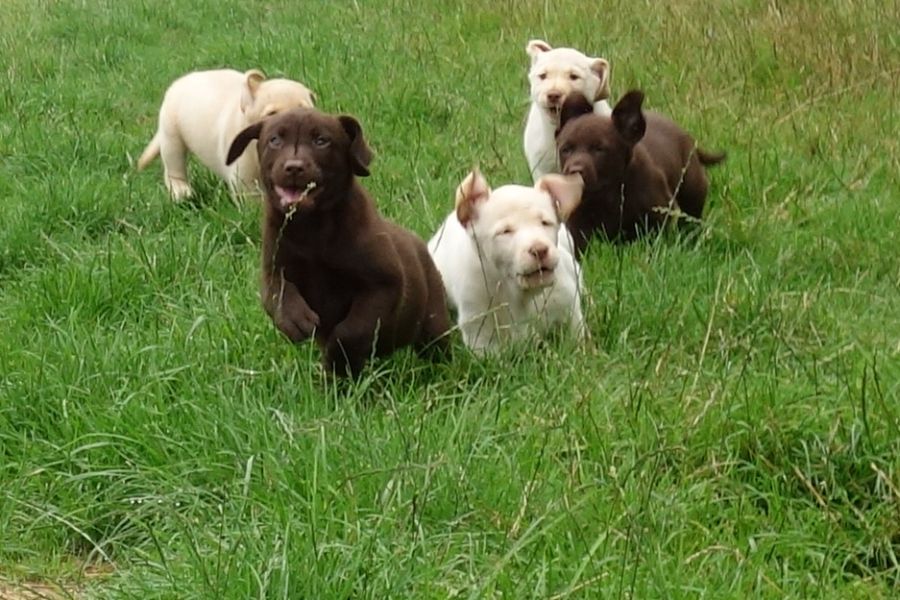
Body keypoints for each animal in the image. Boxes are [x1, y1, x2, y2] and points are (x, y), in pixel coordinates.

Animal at [135, 68, 314, 199]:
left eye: (306, 110)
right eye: (271, 113)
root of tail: (179, 82)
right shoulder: (243, 172)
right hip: (171, 132)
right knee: (174, 166)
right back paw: (182, 193)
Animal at [225, 104, 450, 376]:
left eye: (321, 141)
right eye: (275, 140)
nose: (294, 167)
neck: (312, 227)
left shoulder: (384, 283)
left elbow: (350, 331)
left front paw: (338, 360)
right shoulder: (274, 271)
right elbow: (279, 295)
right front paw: (296, 321)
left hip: (433, 318)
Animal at [430, 169, 588, 354]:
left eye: (545, 222)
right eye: (505, 231)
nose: (539, 249)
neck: (520, 293)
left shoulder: (568, 306)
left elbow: (577, 339)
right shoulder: (479, 328)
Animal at [556, 91, 724, 255]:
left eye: (599, 149)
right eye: (565, 150)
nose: (574, 170)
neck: (609, 192)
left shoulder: (657, 217)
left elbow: (654, 244)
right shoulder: (578, 224)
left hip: (692, 190)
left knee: (690, 219)